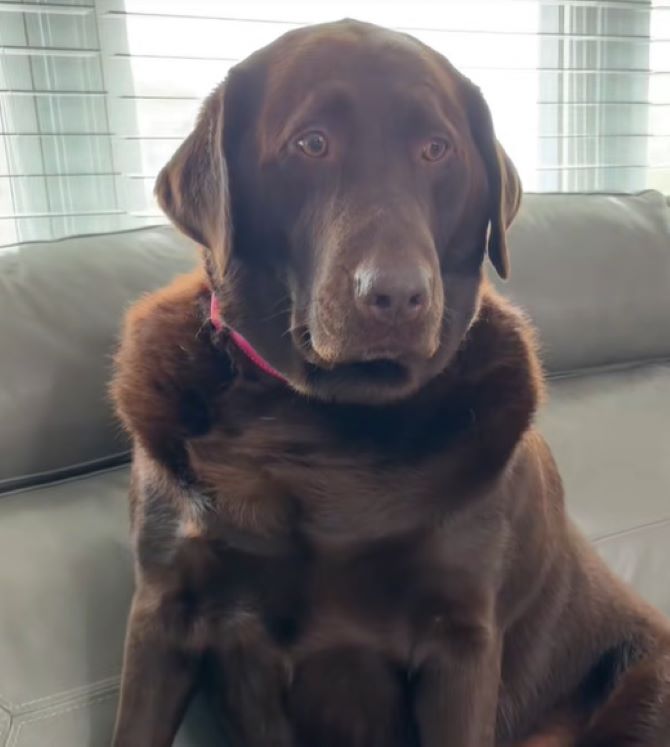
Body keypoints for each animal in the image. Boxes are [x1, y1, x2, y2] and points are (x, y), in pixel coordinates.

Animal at [111, 17, 670, 747]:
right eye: (311, 143)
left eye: (436, 149)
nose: (399, 295)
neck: (326, 421)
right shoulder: (162, 610)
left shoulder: (460, 641)